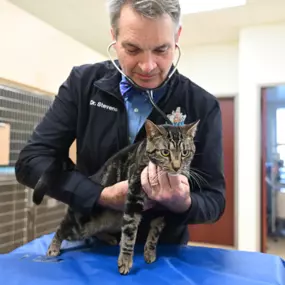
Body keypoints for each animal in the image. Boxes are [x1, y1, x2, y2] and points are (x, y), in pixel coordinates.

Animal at [35, 118, 197, 274]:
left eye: (185, 153)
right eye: (165, 152)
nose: (177, 167)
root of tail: (91, 177)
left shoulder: (164, 205)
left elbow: (155, 232)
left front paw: (149, 252)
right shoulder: (134, 195)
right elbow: (130, 233)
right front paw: (125, 260)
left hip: (112, 222)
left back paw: (107, 238)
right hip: (80, 226)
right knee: (61, 227)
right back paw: (54, 246)